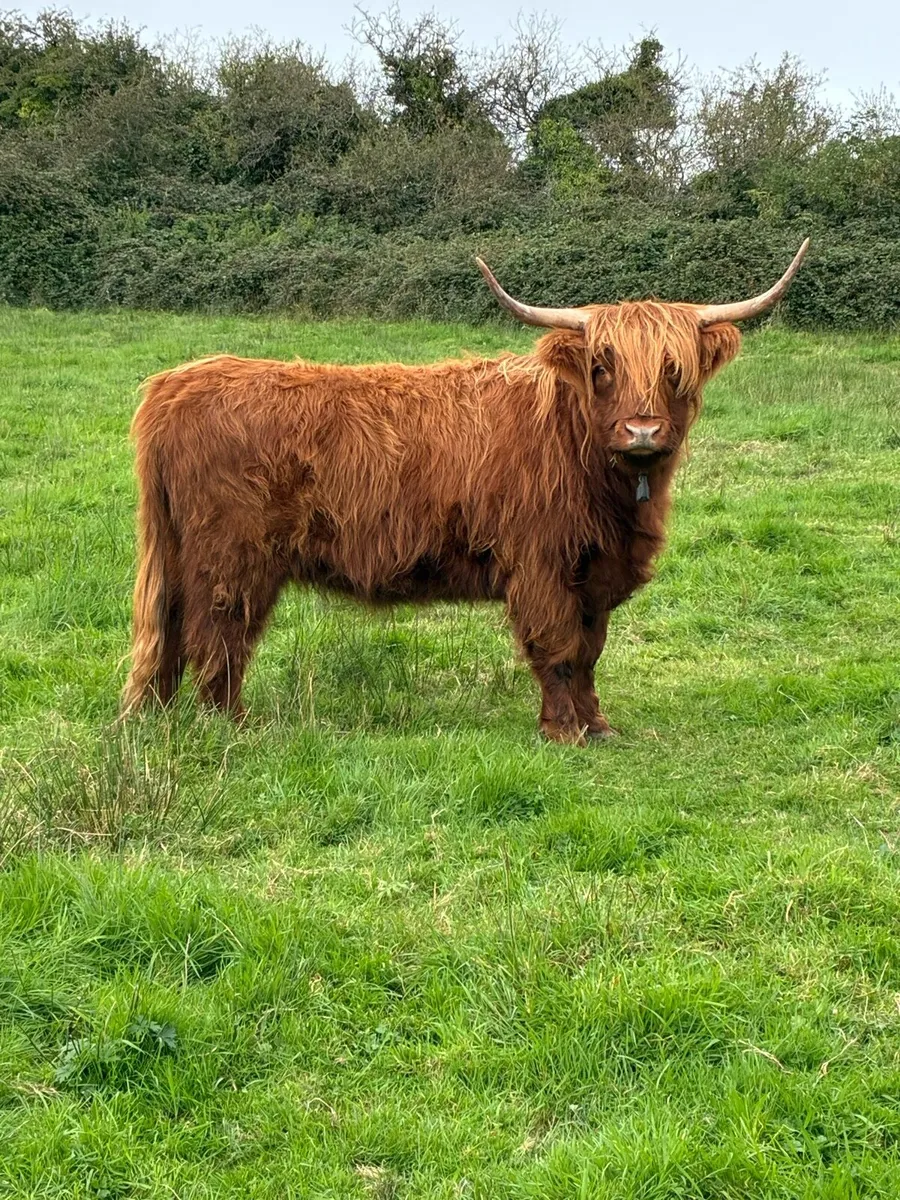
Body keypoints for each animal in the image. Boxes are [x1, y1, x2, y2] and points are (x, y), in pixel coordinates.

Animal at [122, 241, 809, 744]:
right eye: (601, 366)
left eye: (674, 369)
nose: (642, 430)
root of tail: (175, 384)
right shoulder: (540, 564)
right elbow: (559, 649)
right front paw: (564, 732)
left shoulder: (595, 571)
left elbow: (590, 651)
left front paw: (599, 725)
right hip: (233, 558)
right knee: (218, 636)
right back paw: (231, 728)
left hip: (185, 555)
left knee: (175, 633)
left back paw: (161, 720)